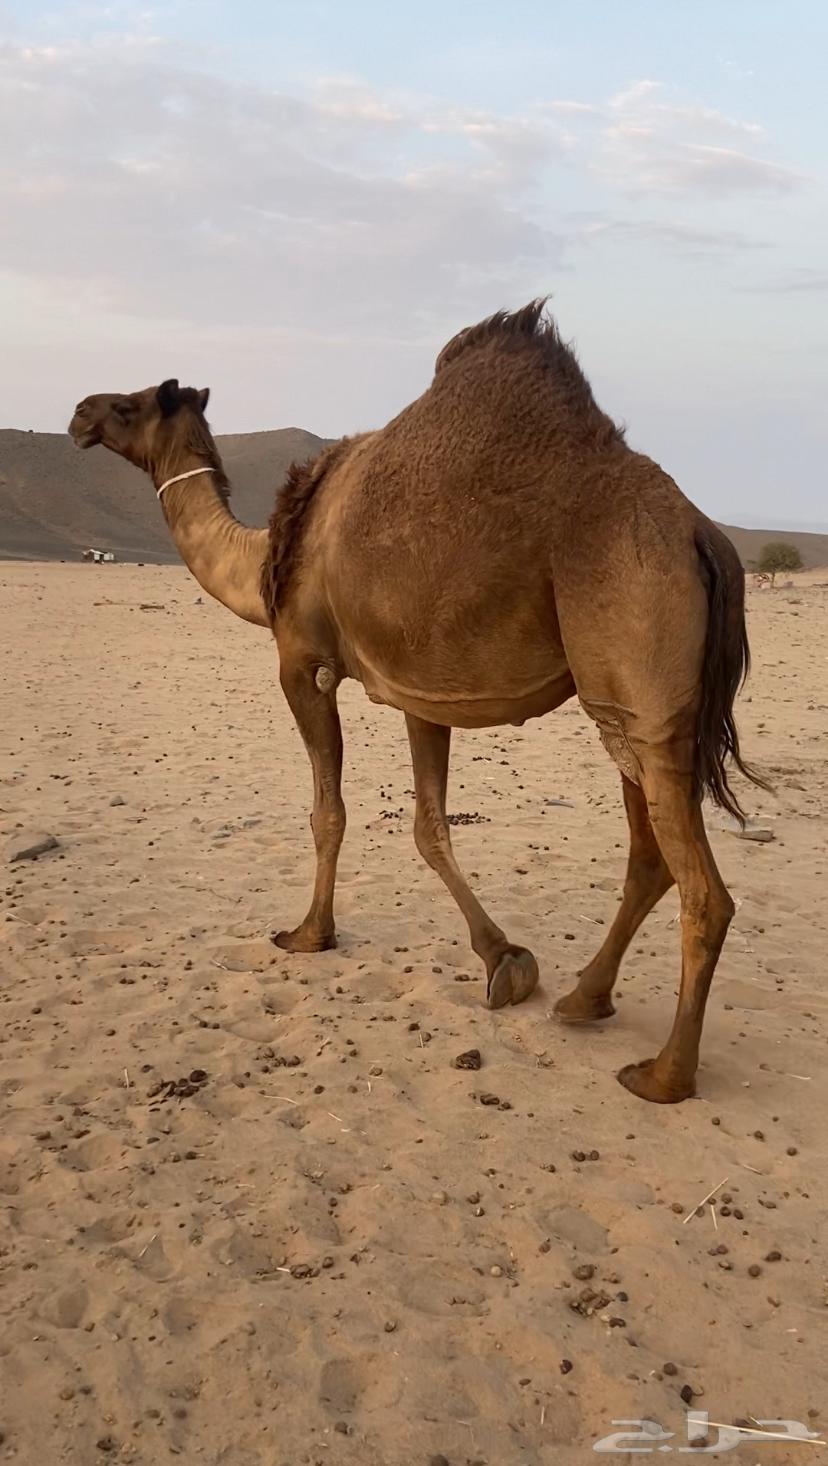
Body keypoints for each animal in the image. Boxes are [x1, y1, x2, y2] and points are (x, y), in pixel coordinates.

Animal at [69, 300, 764, 1103]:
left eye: (130, 405)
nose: (80, 412)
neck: (268, 552)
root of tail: (702, 534)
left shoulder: (301, 662)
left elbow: (329, 812)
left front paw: (309, 934)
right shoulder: (420, 693)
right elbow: (430, 827)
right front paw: (506, 963)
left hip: (637, 674)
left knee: (705, 891)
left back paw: (663, 1074)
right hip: (630, 712)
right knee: (650, 857)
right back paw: (585, 998)